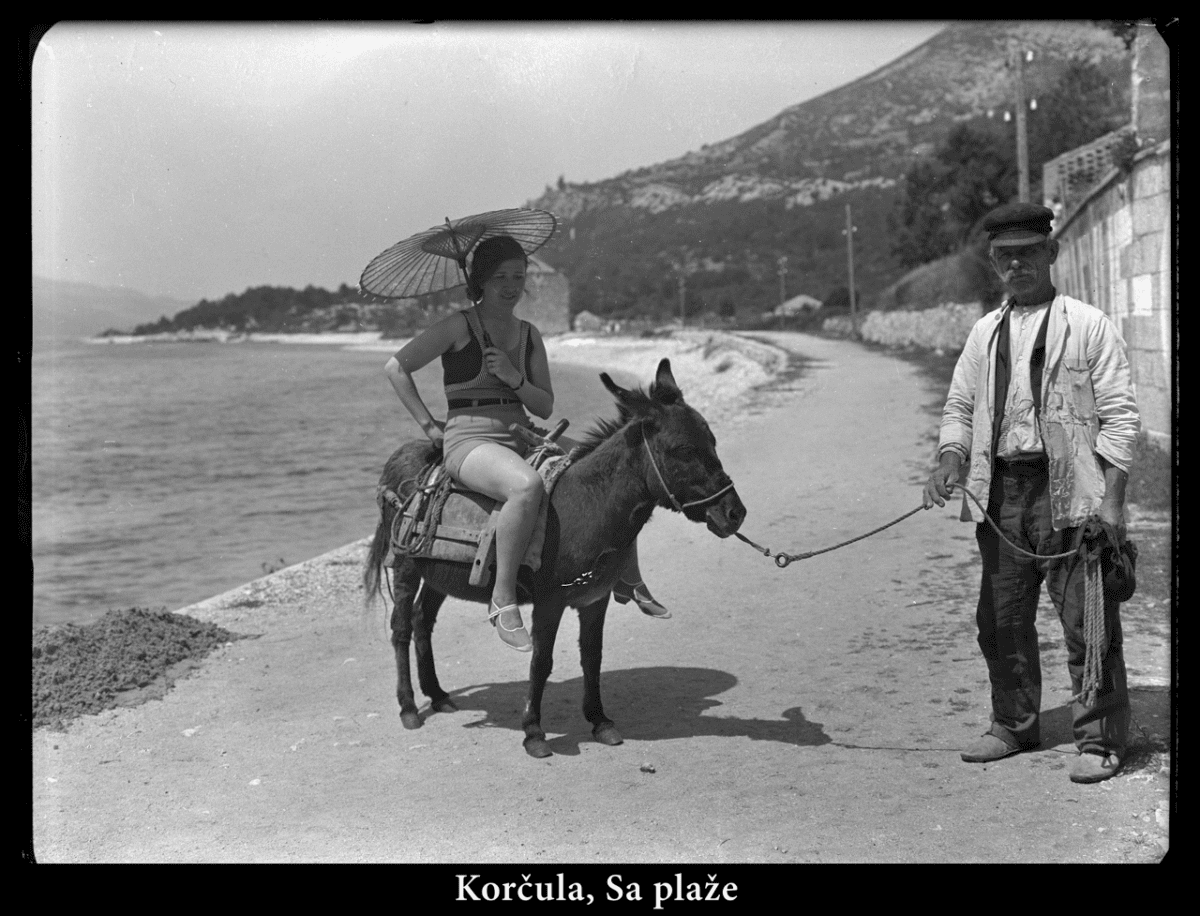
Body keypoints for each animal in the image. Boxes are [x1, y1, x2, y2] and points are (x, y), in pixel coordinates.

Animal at [363, 358, 746, 758]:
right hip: (406, 565)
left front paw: (599, 720)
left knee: (423, 621)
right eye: (682, 450)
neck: (587, 505)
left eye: (713, 442)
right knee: (401, 628)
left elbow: (592, 657)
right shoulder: (549, 602)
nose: (735, 514)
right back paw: (409, 707)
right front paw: (533, 730)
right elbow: (541, 660)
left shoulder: (594, 600)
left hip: (440, 573)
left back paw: (437, 695)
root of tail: (403, 453)